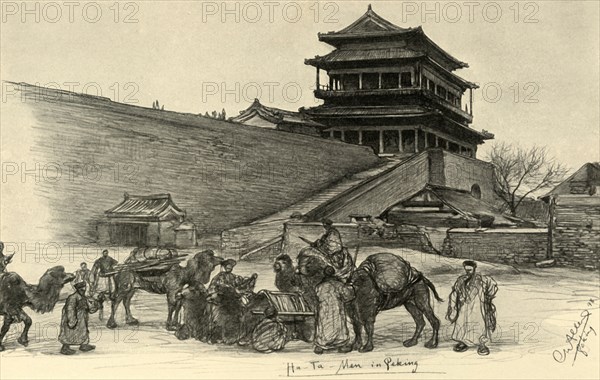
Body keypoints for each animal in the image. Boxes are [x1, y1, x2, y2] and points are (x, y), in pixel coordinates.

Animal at [296, 248, 440, 352]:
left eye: (309, 261)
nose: (297, 269)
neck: (353, 284)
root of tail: (421, 277)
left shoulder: (368, 309)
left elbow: (368, 326)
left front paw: (366, 347)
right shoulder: (352, 310)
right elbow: (357, 327)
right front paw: (354, 346)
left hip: (421, 298)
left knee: (433, 319)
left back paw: (432, 344)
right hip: (409, 302)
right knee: (420, 321)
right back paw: (411, 342)